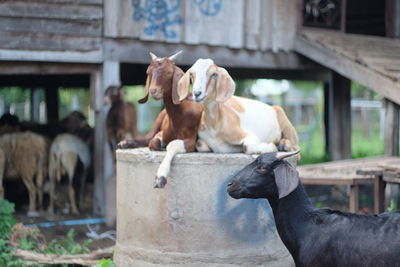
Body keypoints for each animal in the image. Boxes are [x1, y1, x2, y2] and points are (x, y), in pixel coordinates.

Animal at [118, 51, 203, 188]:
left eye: (168, 72)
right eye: (148, 72)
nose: (153, 91)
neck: (178, 114)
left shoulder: (191, 140)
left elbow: (171, 145)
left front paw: (160, 178)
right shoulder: (161, 133)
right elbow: (153, 142)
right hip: (159, 118)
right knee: (148, 137)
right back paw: (125, 143)